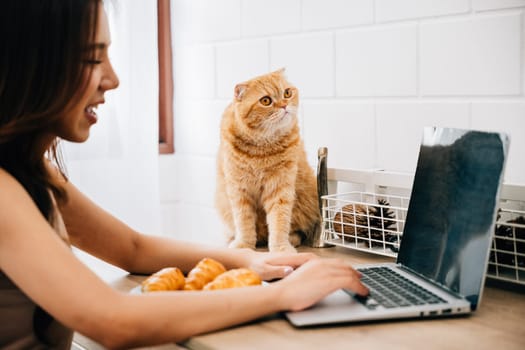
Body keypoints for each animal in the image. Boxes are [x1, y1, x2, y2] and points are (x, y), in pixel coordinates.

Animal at [214, 68, 320, 252]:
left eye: (287, 93)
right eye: (266, 101)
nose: (284, 105)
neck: (262, 148)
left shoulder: (280, 189)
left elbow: (279, 222)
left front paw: (281, 248)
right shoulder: (239, 191)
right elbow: (244, 223)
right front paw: (244, 245)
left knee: (298, 230)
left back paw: (291, 239)